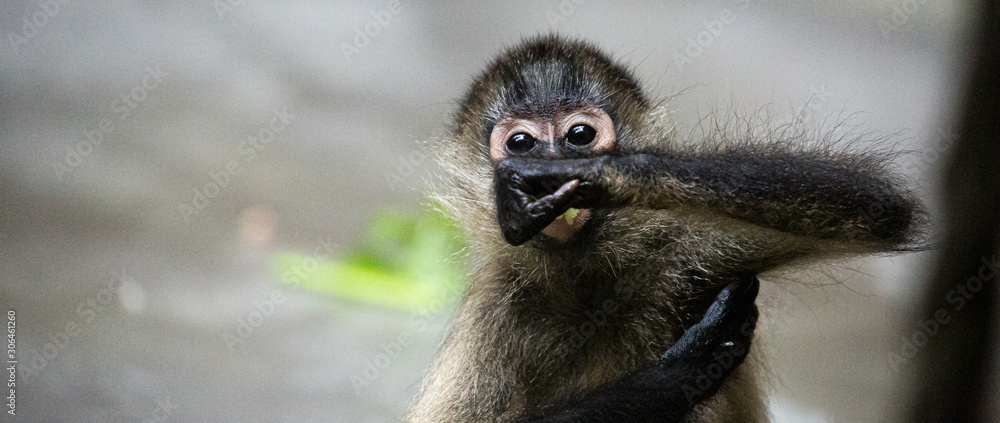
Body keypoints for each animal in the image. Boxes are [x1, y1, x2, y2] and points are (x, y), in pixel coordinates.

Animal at [405, 35, 921, 422]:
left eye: (579, 136)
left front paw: (595, 171)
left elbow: (880, 208)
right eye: (520, 143)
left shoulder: (681, 247)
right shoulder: (496, 305)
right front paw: (676, 375)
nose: (547, 167)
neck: (587, 290)